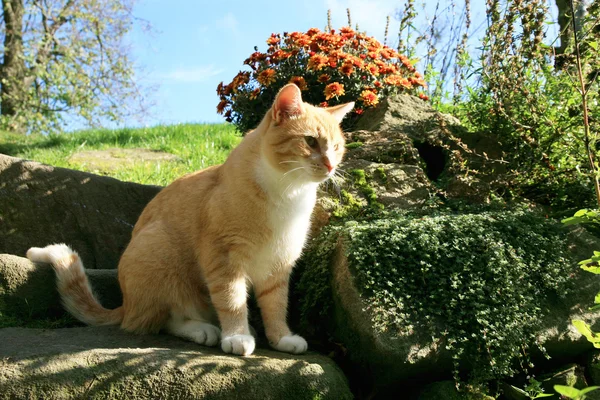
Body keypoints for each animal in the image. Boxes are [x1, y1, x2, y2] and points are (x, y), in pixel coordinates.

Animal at [28, 84, 354, 356]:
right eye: (310, 142)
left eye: (337, 147)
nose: (330, 165)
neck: (288, 193)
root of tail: (125, 304)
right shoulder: (223, 257)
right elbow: (232, 300)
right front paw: (237, 336)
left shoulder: (278, 263)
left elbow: (276, 305)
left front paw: (281, 338)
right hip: (158, 252)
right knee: (159, 320)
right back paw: (204, 330)